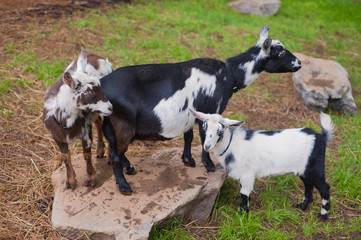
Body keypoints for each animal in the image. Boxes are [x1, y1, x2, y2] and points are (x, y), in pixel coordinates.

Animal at [99, 25, 300, 194]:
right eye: (280, 53)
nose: (299, 63)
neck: (229, 75)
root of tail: (101, 83)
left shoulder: (191, 115)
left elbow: (188, 136)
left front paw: (188, 160)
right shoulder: (210, 112)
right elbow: (205, 139)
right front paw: (208, 164)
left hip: (112, 123)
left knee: (113, 147)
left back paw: (129, 168)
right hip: (124, 123)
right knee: (115, 154)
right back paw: (124, 186)